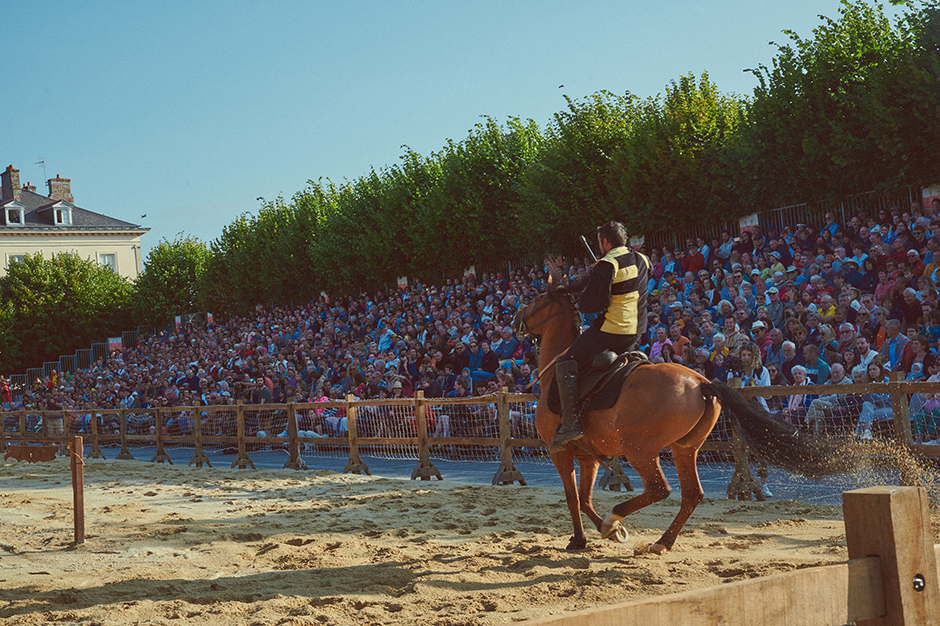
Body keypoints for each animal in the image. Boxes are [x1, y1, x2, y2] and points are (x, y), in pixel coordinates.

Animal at [516, 282, 844, 552]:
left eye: (535, 300)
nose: (518, 318)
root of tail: (701, 383)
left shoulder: (559, 453)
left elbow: (573, 498)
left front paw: (585, 538)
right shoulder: (588, 457)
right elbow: (583, 499)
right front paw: (606, 533)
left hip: (641, 451)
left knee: (660, 489)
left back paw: (617, 518)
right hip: (685, 449)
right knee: (692, 494)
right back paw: (662, 541)